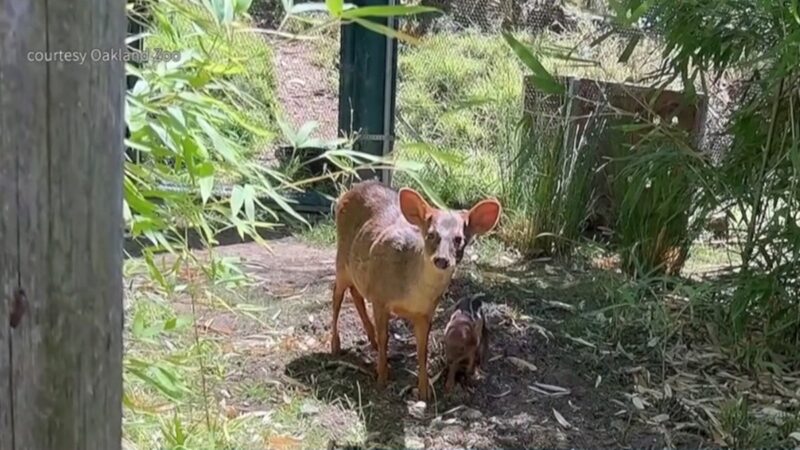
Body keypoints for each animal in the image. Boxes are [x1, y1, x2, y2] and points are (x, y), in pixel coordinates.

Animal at [332, 181, 500, 400]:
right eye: (431, 235)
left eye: (459, 239)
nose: (442, 260)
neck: (412, 294)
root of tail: (352, 189)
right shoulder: (380, 297)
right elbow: (385, 337)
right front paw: (382, 377)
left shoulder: (426, 312)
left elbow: (422, 349)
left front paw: (424, 390)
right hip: (341, 259)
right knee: (337, 295)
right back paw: (335, 345)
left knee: (356, 292)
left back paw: (370, 341)